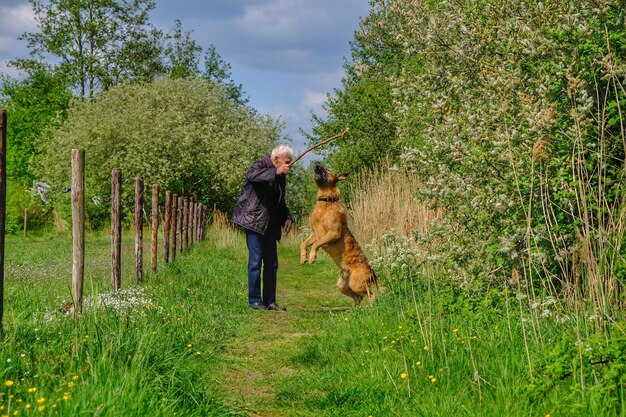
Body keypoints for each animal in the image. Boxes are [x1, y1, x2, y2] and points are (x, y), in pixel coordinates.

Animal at [298, 161, 378, 304]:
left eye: (328, 169)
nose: (317, 162)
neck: (326, 200)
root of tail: (372, 271)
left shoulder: (332, 234)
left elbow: (315, 245)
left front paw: (312, 257)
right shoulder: (314, 234)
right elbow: (304, 243)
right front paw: (303, 257)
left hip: (357, 284)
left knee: (371, 296)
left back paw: (373, 306)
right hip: (343, 285)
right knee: (358, 297)